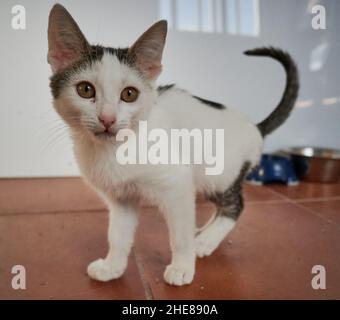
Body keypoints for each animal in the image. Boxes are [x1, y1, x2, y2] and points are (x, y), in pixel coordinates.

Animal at [47, 4, 298, 284]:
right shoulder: (122, 197)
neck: (115, 150)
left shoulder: (178, 184)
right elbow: (118, 234)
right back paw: (202, 232)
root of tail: (254, 126)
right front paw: (113, 266)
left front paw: (182, 267)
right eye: (85, 89)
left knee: (235, 206)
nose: (107, 119)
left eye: (129, 94)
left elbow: (180, 235)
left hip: (219, 174)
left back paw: (205, 241)